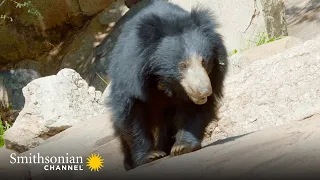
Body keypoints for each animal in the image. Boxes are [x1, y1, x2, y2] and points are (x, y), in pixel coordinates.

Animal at [106, 0, 229, 171]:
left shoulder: (213, 75)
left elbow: (195, 110)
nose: (204, 91)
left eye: (204, 61)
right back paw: (130, 162)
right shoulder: (131, 74)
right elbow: (131, 112)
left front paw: (182, 146)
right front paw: (150, 156)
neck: (166, 79)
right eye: (182, 65)